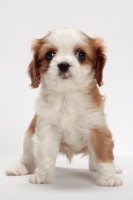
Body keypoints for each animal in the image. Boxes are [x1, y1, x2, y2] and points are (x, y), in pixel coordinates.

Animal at [6, 27, 122, 186]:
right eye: (49, 55)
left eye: (81, 54)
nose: (63, 64)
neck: (67, 96)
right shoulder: (46, 128)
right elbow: (46, 155)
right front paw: (44, 175)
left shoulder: (97, 128)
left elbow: (104, 155)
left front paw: (109, 177)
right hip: (29, 135)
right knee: (28, 157)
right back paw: (19, 167)